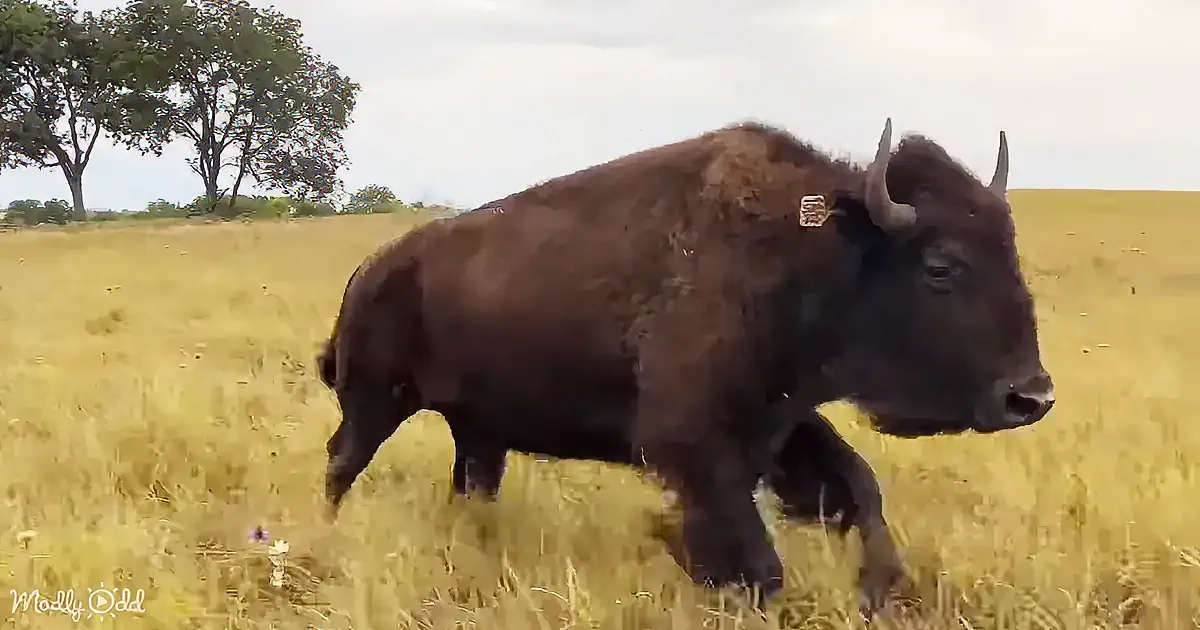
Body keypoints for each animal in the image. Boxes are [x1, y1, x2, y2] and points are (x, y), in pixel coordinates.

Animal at [315, 118, 1055, 617]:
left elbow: (857, 489)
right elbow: (757, 559)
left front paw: (880, 590)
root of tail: (371, 270)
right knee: (341, 464)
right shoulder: (697, 447)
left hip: (477, 431)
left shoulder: (780, 423)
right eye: (941, 265)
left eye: (1011, 250)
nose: (1032, 397)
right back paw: (324, 535)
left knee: (469, 485)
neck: (809, 255)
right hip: (373, 402)